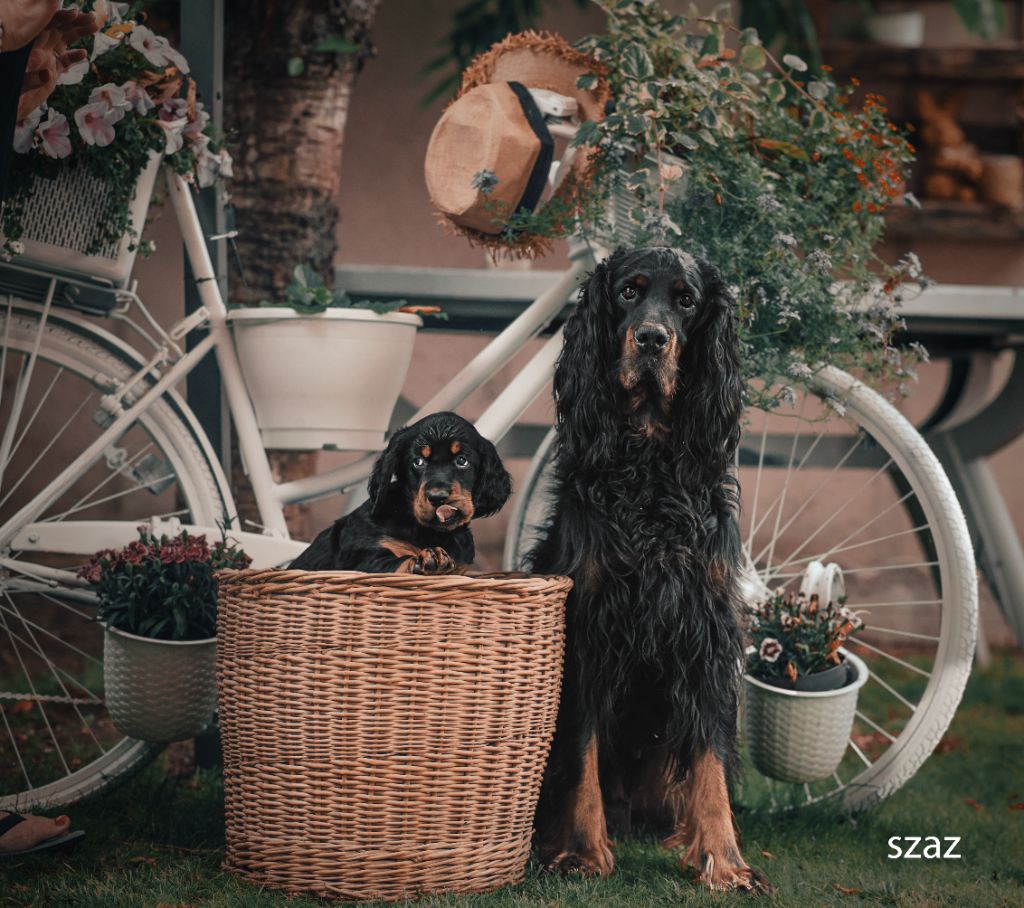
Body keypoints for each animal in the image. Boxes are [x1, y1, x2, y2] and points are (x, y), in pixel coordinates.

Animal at [288, 413, 512, 573]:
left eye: (462, 460)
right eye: (418, 461)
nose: (437, 497)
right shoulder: (361, 559)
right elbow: (395, 563)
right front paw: (428, 561)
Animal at [528, 246, 770, 896]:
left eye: (686, 299)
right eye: (628, 292)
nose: (653, 340)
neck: (649, 467)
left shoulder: (706, 627)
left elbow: (711, 755)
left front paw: (723, 857)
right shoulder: (588, 625)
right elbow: (582, 749)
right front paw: (583, 851)